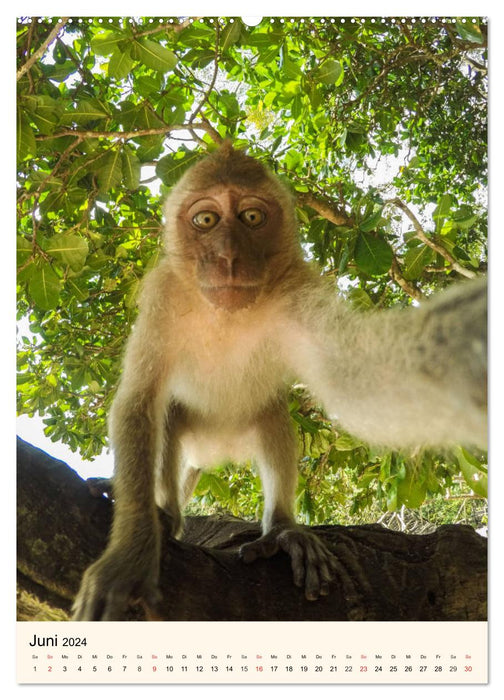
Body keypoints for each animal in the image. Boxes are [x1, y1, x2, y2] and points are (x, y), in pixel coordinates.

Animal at [73, 141, 486, 616]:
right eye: (206, 220)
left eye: (252, 217)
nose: (229, 257)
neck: (226, 314)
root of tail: (217, 453)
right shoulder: (162, 296)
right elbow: (138, 402)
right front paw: (131, 553)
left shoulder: (298, 288)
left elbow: (354, 376)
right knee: (170, 415)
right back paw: (169, 514)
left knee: (272, 415)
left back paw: (283, 530)